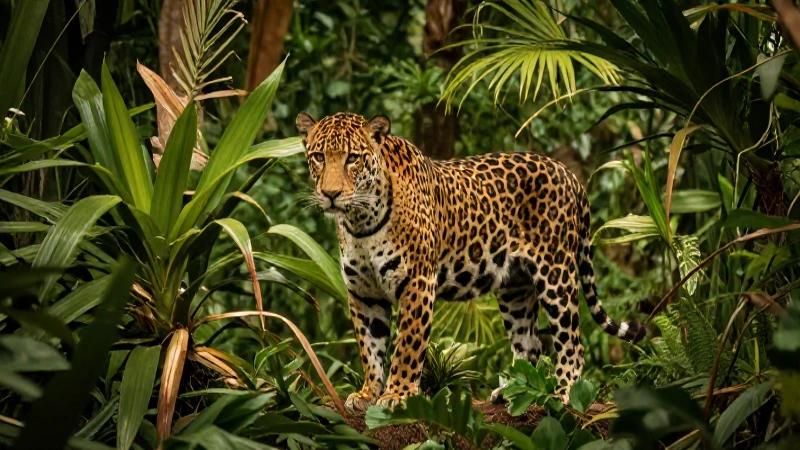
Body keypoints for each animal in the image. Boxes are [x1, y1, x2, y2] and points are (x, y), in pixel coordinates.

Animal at [296, 111, 645, 410]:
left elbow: (407, 345)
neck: (361, 221)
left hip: (555, 274)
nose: (331, 194)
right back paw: (515, 392)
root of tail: (570, 174)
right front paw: (368, 393)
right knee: (530, 343)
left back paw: (564, 392)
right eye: (319, 157)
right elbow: (370, 348)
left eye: (352, 158)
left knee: (571, 343)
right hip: (515, 288)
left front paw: (397, 395)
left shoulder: (417, 283)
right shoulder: (363, 292)